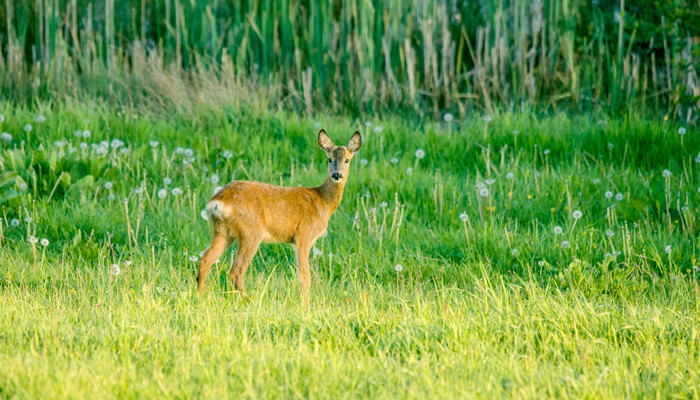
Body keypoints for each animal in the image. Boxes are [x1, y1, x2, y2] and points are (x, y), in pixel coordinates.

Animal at [196, 130, 360, 304]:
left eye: (347, 159)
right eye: (329, 159)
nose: (337, 175)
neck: (323, 202)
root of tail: (217, 201)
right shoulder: (304, 236)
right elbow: (305, 278)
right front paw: (306, 305)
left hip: (223, 231)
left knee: (205, 260)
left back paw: (201, 296)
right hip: (251, 231)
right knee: (236, 270)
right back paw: (250, 300)